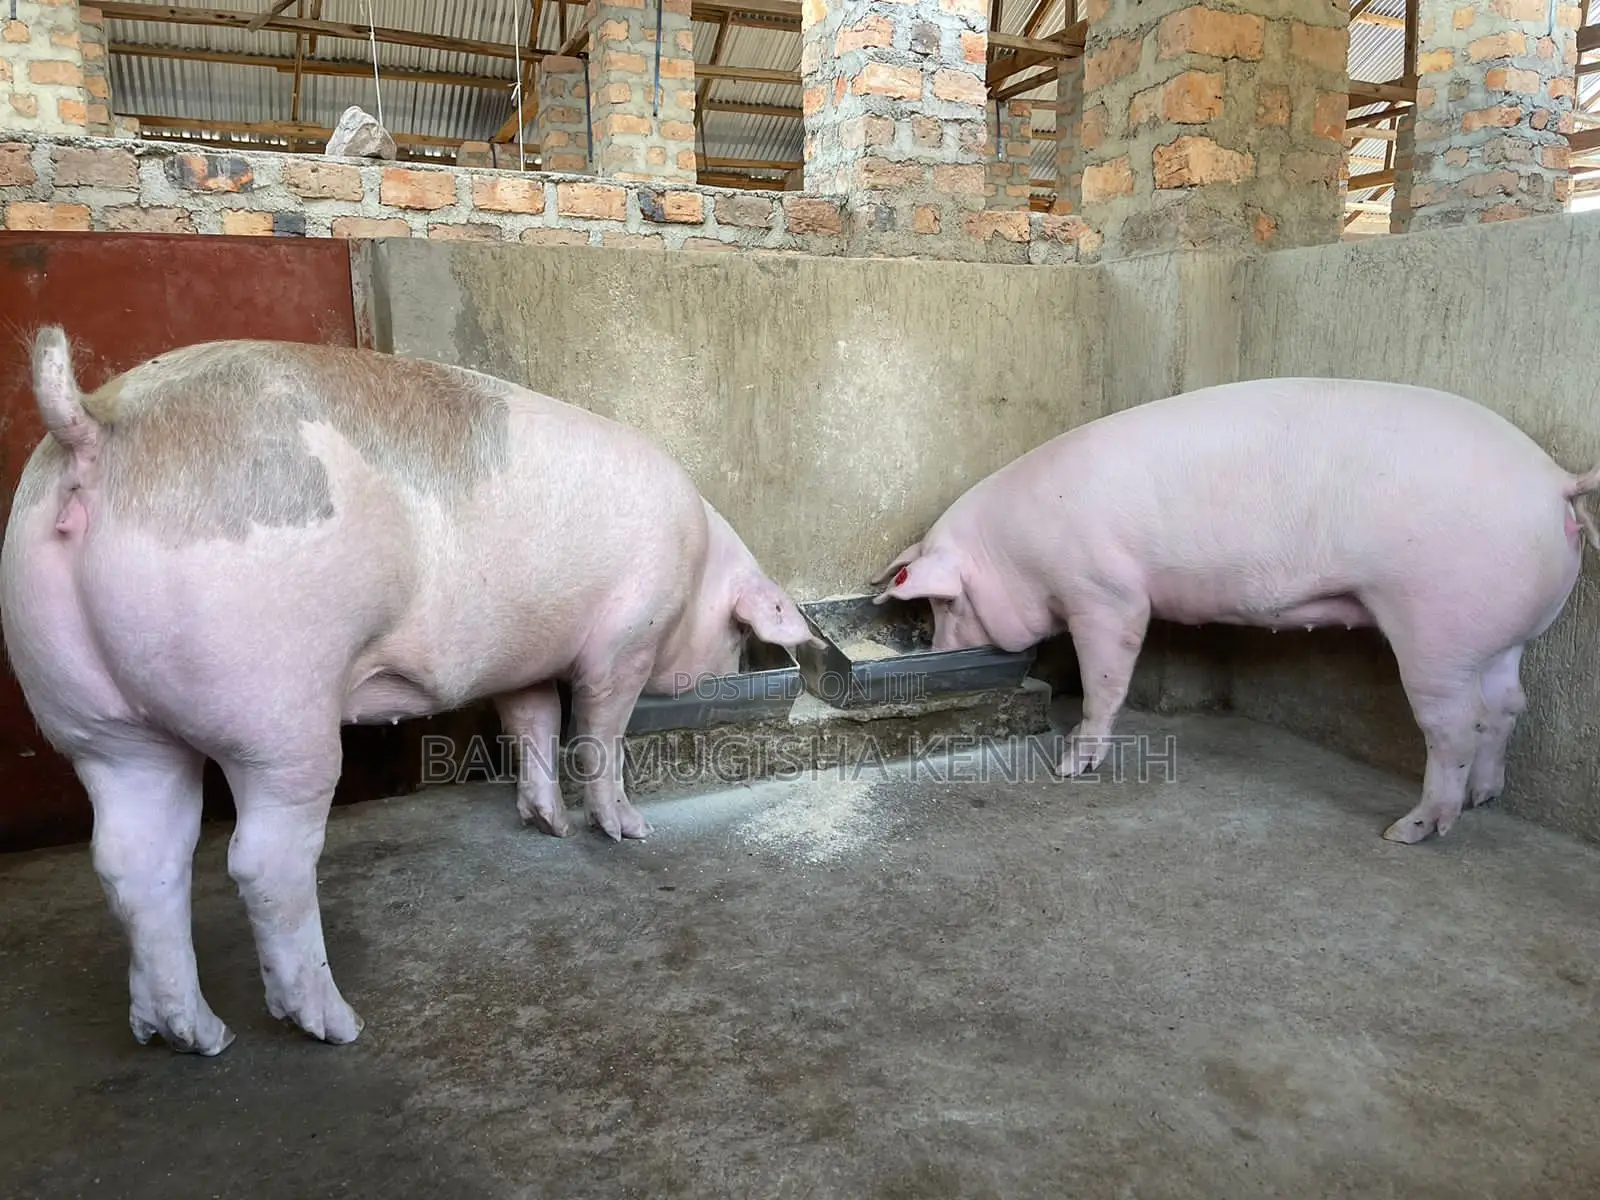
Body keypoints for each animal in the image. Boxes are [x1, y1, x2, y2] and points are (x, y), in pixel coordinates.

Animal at [0, 327, 816, 1056]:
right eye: (738, 632)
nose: (727, 665)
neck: (698, 559)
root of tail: (91, 423)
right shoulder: (627, 637)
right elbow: (595, 729)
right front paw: (629, 830)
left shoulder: (518, 658)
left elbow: (531, 721)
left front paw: (546, 825)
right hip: (274, 708)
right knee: (262, 861)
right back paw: (336, 1025)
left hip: (95, 722)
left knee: (134, 862)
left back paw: (188, 1036)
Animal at [872, 377, 1600, 847]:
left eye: (944, 605)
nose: (936, 657)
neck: (1020, 549)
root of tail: (1555, 482)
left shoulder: (1105, 592)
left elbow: (1106, 677)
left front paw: (1071, 766)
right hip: (1501, 633)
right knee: (1506, 705)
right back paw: (1485, 798)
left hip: (1437, 624)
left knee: (1455, 726)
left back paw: (1408, 830)